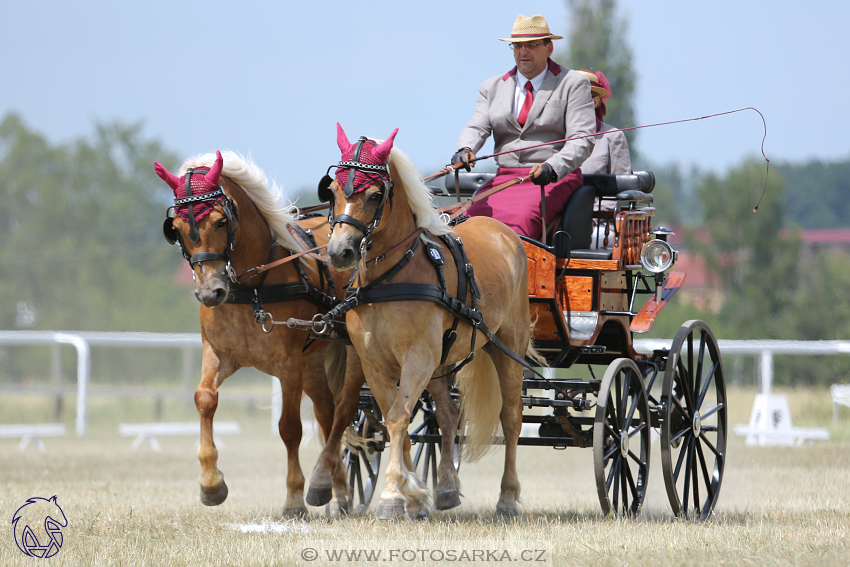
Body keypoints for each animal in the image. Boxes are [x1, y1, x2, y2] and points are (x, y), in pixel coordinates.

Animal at [155, 152, 348, 520]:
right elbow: (204, 399)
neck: (251, 286)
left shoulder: (288, 365)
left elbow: (290, 428)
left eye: (220, 221)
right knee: (328, 415)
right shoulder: (218, 354)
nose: (210, 292)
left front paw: (293, 498)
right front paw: (211, 484)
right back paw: (337, 490)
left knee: (343, 413)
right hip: (314, 360)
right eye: (178, 230)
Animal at [304, 126, 532, 520]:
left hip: (507, 346)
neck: (390, 277)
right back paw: (446, 488)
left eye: (375, 194)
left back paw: (506, 498)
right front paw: (411, 495)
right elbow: (398, 418)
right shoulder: (374, 362)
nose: (340, 253)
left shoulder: (417, 357)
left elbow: (397, 416)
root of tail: (505, 233)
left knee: (511, 418)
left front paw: (392, 495)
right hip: (441, 360)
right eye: (331, 191)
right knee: (448, 414)